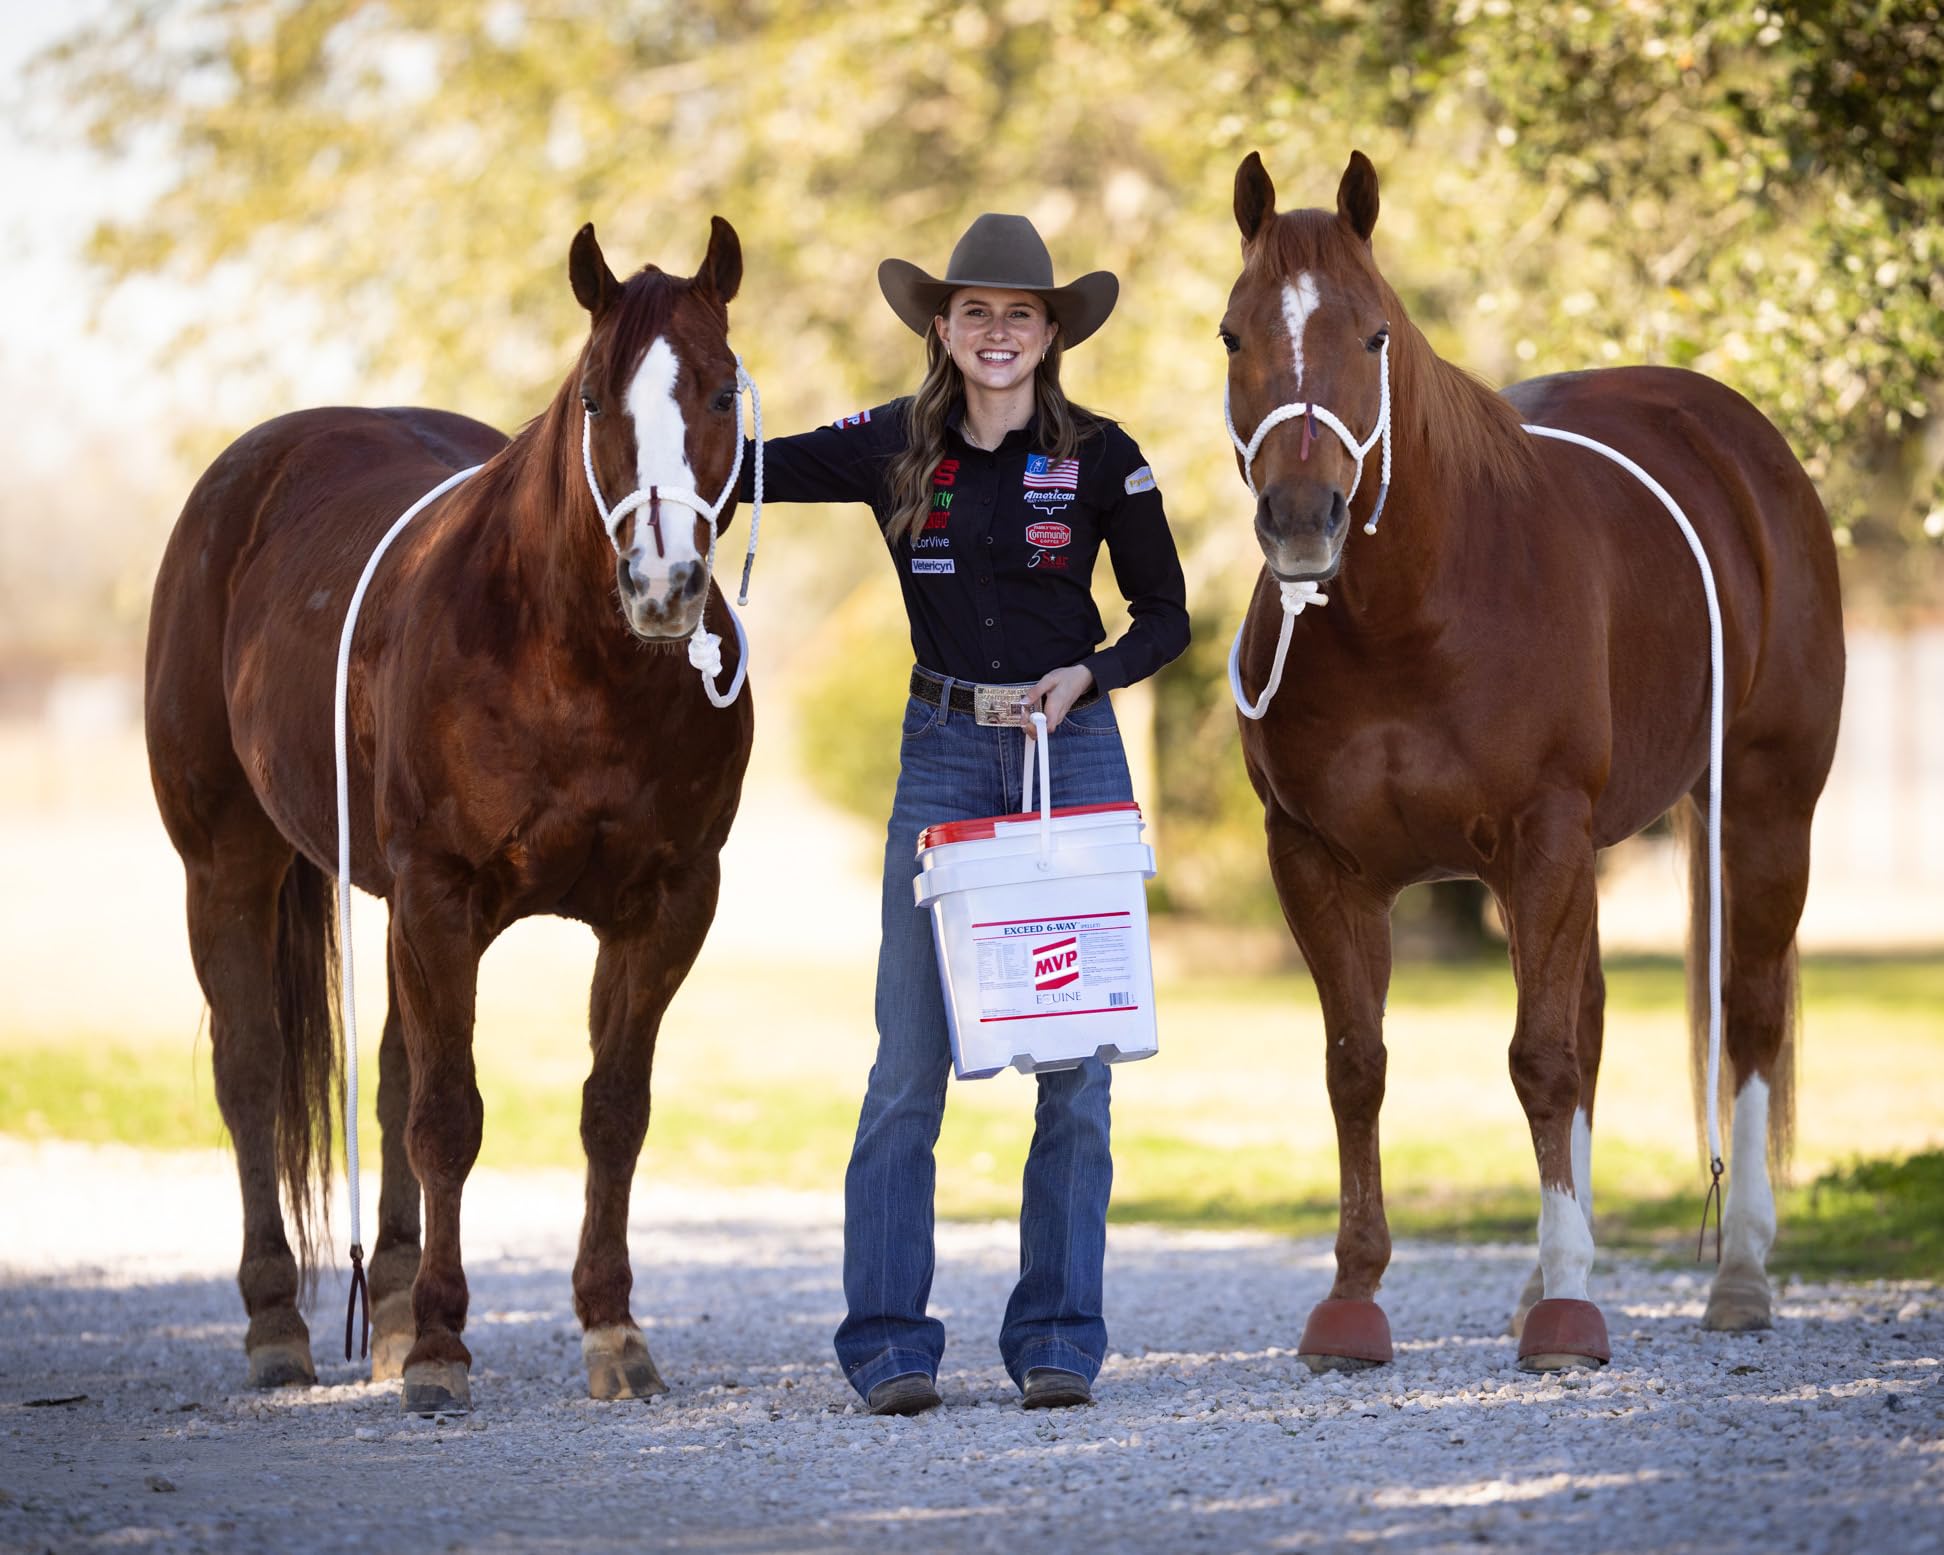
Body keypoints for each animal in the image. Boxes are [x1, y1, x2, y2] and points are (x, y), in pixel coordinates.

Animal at [144, 217, 756, 1414]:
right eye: (595, 399)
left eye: (718, 392)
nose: (663, 584)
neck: (577, 666)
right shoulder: (440, 895)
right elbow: (449, 1119)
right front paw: (440, 1345)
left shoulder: (668, 906)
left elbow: (611, 1111)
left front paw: (611, 1329)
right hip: (225, 865)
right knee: (251, 1070)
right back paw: (279, 1324)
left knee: (386, 1077)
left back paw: (379, 1310)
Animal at [1220, 150, 1844, 1372]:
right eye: (1232, 334)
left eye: (1374, 335)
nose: (1303, 519)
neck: (1412, 614)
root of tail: (1742, 442)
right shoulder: (1316, 862)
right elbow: (1357, 1064)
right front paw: (1353, 1303)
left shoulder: (1542, 835)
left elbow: (1541, 1060)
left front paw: (1567, 1316)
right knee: (1592, 1021)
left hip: (1760, 806)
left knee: (1747, 1018)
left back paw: (1738, 1273)